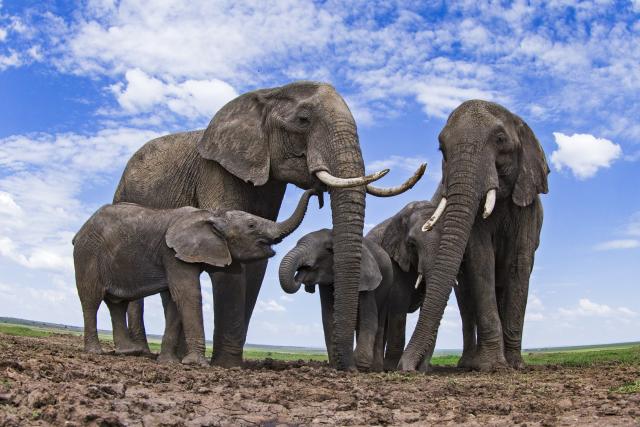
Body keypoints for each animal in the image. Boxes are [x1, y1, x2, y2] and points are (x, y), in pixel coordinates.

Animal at [73, 190, 317, 366]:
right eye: (251, 225)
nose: (316, 192)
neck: (212, 216)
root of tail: (80, 231)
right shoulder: (171, 253)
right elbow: (188, 295)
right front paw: (197, 364)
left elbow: (175, 300)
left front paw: (169, 363)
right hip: (87, 254)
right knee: (91, 300)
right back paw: (95, 352)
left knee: (117, 303)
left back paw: (128, 352)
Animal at [278, 229, 393, 371]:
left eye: (329, 249)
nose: (301, 272)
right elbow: (328, 317)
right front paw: (335, 366)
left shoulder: (367, 276)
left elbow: (369, 317)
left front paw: (359, 365)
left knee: (380, 321)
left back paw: (375, 369)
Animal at [398, 100, 549, 371]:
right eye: (441, 148)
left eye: (500, 139)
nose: (406, 368)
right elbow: (481, 260)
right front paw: (492, 367)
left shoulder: (528, 205)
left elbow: (519, 265)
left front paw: (515, 366)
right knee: (466, 303)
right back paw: (468, 363)